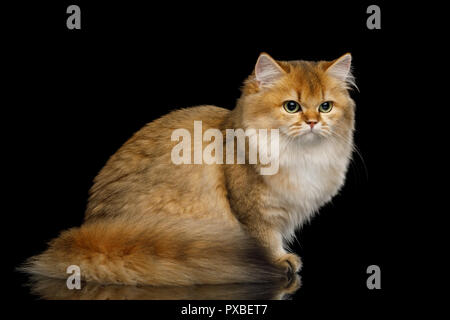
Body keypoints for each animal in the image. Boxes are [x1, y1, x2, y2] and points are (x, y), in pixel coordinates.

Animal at [21, 52, 356, 284]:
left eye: (325, 106)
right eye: (291, 106)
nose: (312, 122)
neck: (302, 155)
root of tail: (92, 233)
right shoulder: (254, 211)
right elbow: (266, 241)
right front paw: (278, 262)